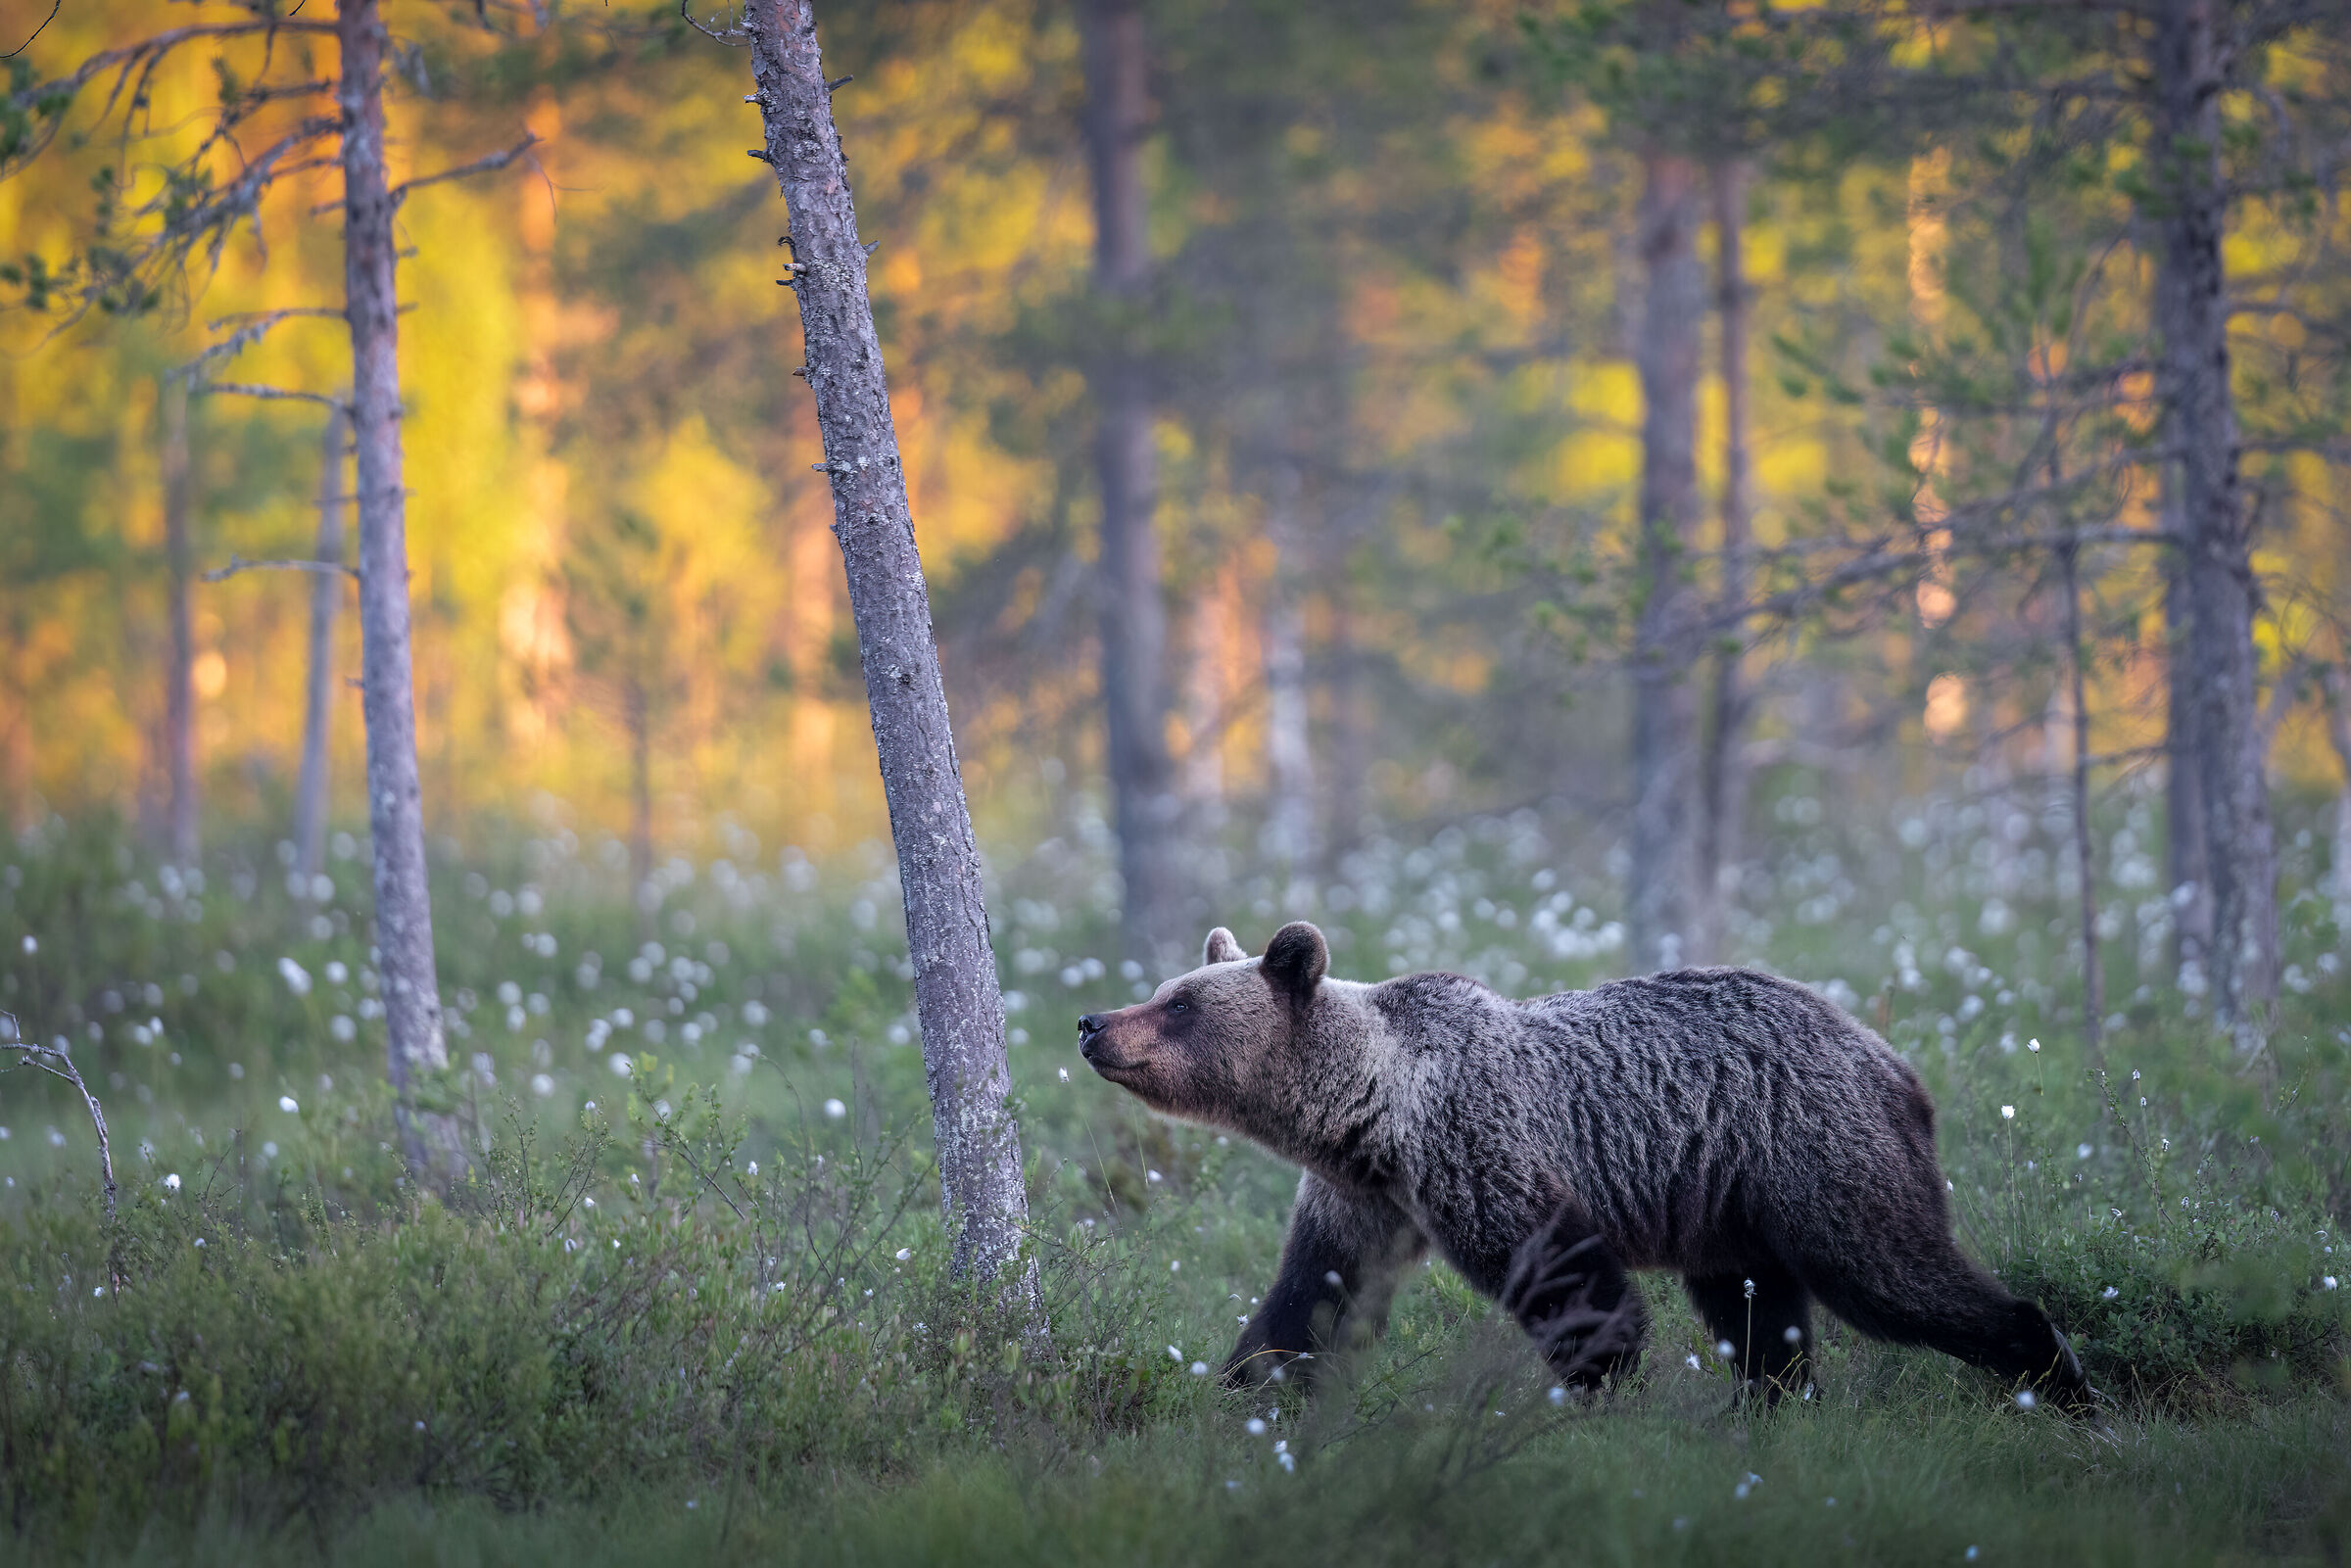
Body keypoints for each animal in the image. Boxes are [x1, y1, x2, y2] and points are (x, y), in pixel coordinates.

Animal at [1077, 921, 2092, 1410]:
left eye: (1177, 1004)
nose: (1093, 1022)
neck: (1371, 1111)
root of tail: (1891, 1058)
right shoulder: (1362, 1199)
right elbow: (1308, 1301)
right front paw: (1239, 1396)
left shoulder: (1477, 1153)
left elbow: (1579, 1290)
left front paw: (1598, 1401)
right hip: (1729, 1210)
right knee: (1763, 1320)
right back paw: (1768, 1413)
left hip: (1817, 1153)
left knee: (1892, 1272)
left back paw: (2059, 1379)